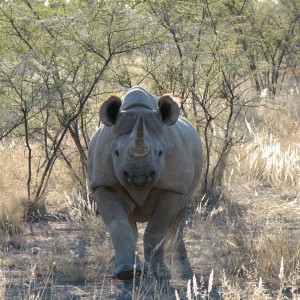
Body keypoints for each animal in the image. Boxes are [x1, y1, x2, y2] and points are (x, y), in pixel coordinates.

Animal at [88, 86, 203, 282]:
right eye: (116, 152)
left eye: (160, 152)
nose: (139, 175)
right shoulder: (104, 184)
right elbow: (119, 226)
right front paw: (126, 272)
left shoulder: (172, 187)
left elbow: (157, 229)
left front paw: (159, 275)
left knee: (179, 218)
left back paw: (183, 271)